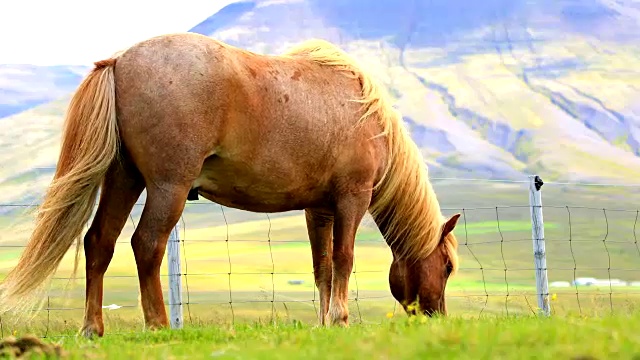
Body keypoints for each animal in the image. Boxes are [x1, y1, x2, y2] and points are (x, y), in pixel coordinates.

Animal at [0, 31, 460, 338]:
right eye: (449, 266)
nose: (437, 317)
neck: (363, 112)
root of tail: (120, 61)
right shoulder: (352, 198)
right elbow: (344, 259)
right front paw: (340, 320)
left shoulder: (318, 209)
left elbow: (323, 267)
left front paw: (325, 322)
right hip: (167, 186)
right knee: (146, 244)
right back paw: (159, 325)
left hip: (123, 178)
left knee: (100, 243)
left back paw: (93, 329)